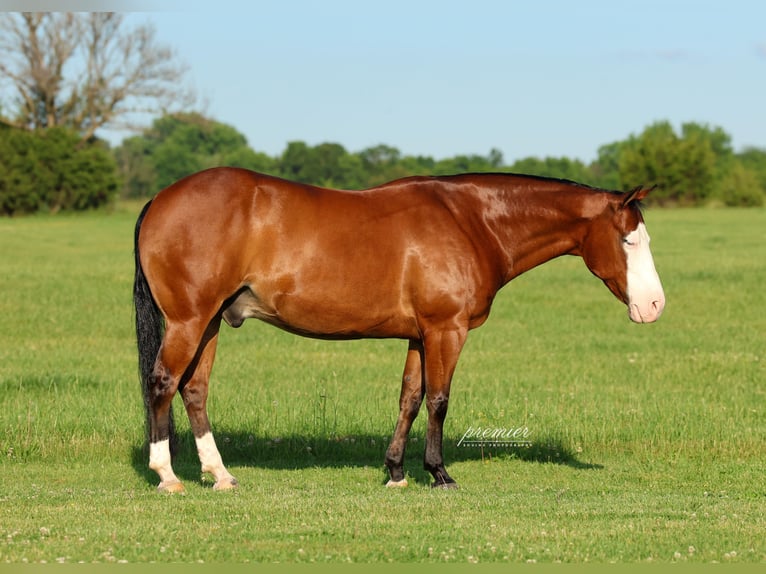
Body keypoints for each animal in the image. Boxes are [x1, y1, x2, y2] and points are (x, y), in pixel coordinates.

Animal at [133, 168, 665, 493]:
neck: (470, 221)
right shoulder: (447, 330)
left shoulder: (419, 334)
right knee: (163, 382)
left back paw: (219, 474)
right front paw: (439, 473)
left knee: (194, 390)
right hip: (189, 320)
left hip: (210, 322)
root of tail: (160, 198)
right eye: (628, 239)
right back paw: (167, 475)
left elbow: (410, 397)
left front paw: (395, 471)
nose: (654, 306)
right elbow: (439, 400)